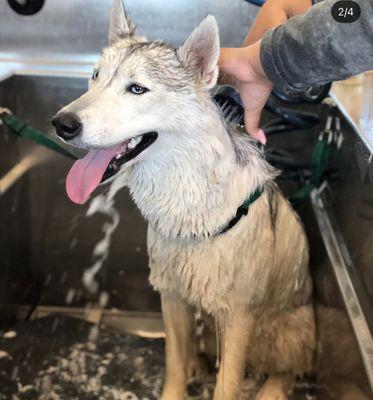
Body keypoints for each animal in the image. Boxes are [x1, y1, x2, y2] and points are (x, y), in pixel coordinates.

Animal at [51, 2, 314, 396]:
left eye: (137, 89)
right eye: (95, 77)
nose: (61, 124)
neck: (190, 211)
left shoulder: (237, 317)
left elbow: (226, 387)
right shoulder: (172, 298)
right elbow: (174, 363)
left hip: (289, 330)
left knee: (286, 371)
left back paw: (268, 391)